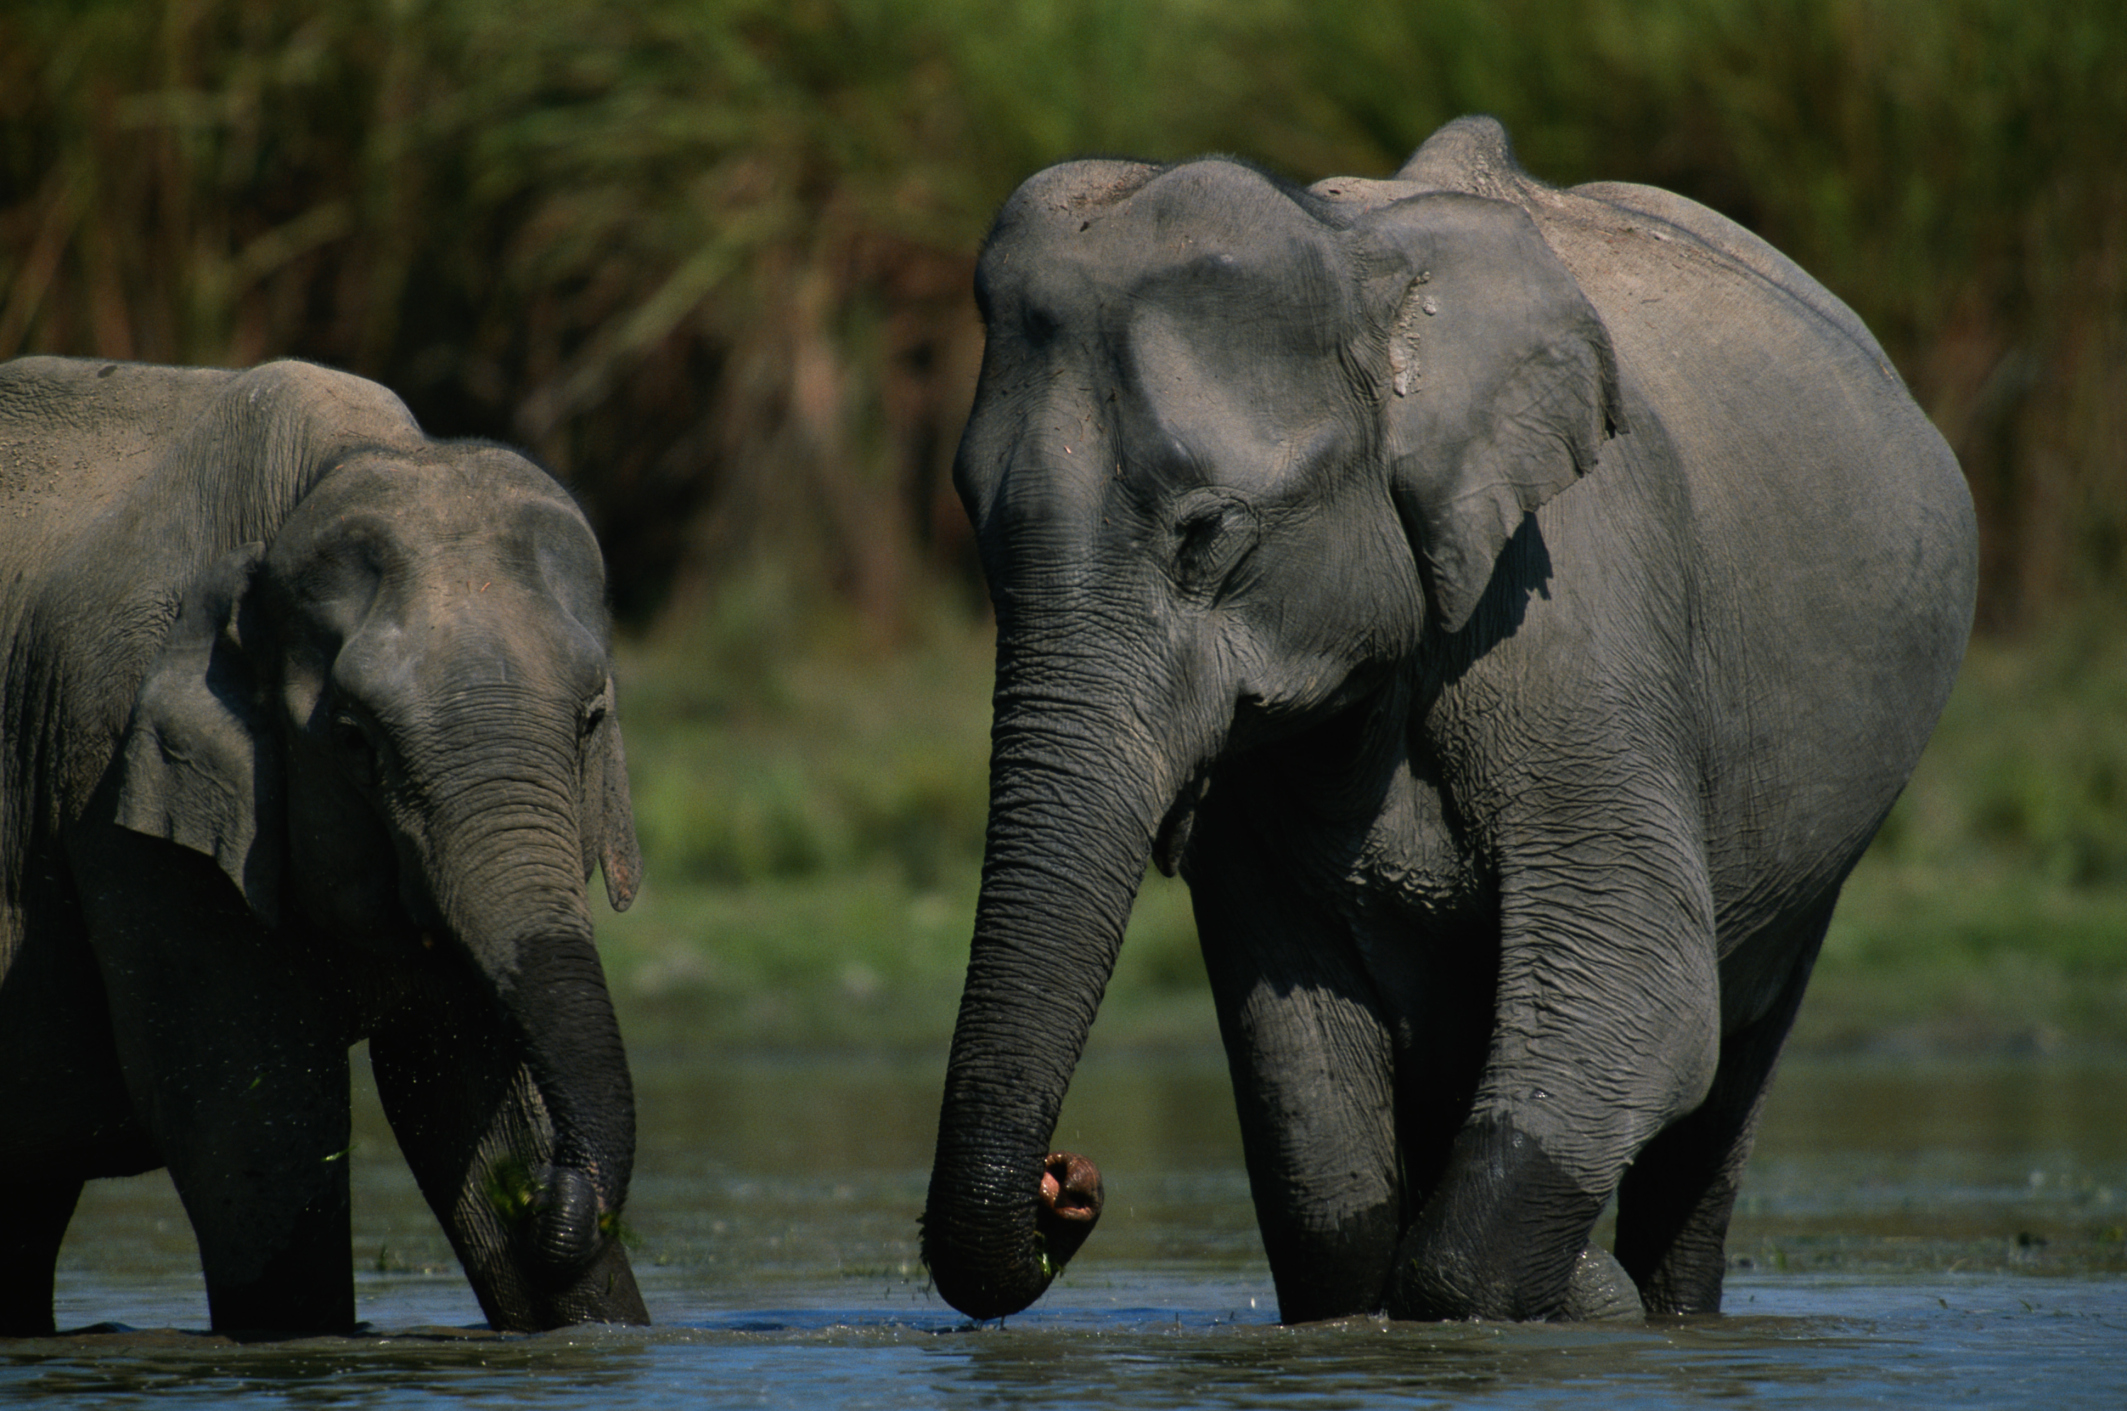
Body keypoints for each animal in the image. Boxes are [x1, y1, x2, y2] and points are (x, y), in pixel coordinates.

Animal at [0, 353, 646, 1336]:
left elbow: (472, 1101)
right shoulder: (124, 800)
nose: (550, 1196)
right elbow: (256, 1124)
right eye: (354, 739)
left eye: (590, 719)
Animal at [923, 118, 1982, 1328]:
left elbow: (1643, 989)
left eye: (1209, 535)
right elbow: (1312, 1127)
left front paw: (1545, 1303)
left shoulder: (1575, 612)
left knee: (1727, 1078)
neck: (1354, 258)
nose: (1067, 1181)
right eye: (977, 530)